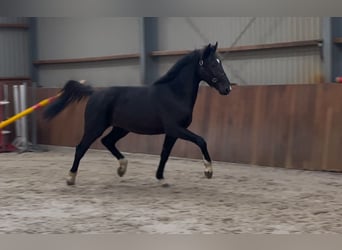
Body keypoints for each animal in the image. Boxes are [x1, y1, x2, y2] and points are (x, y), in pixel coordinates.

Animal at [42, 42, 230, 185]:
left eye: (220, 62)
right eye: (213, 64)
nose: (227, 88)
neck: (174, 93)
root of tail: (94, 92)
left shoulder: (172, 133)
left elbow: (165, 153)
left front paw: (160, 178)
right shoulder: (175, 129)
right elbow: (201, 140)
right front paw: (208, 171)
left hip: (121, 128)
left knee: (107, 141)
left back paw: (122, 168)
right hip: (94, 127)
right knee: (81, 148)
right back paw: (71, 178)